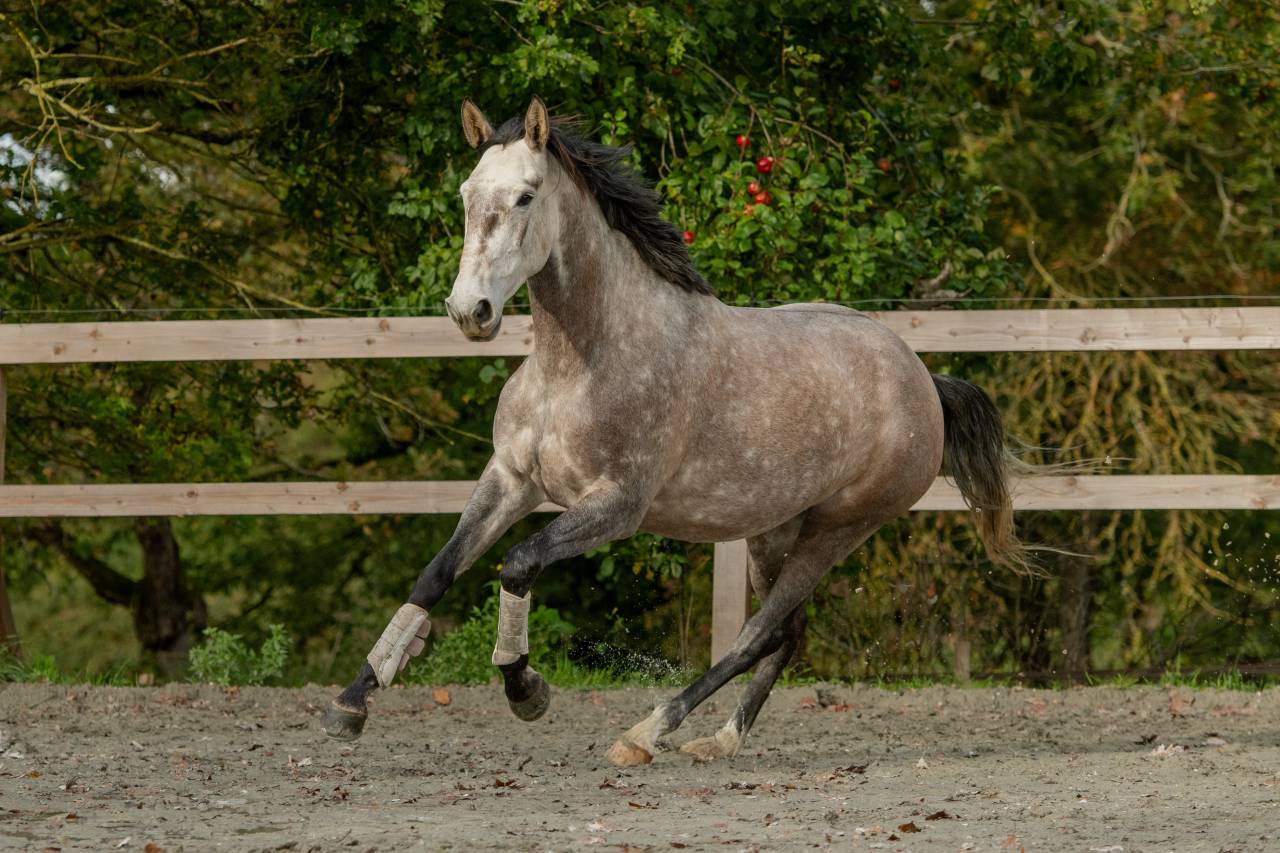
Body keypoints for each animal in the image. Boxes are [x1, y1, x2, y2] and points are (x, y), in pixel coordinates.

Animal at [321, 96, 1030, 765]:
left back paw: (647, 732)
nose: (471, 312)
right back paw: (719, 741)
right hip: (774, 531)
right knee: (786, 635)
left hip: (839, 528)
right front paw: (350, 704)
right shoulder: (512, 479)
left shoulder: (616, 505)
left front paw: (527, 691)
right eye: (467, 194)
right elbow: (436, 573)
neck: (580, 360)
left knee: (756, 635)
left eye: (526, 196)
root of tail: (923, 378)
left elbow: (518, 564)